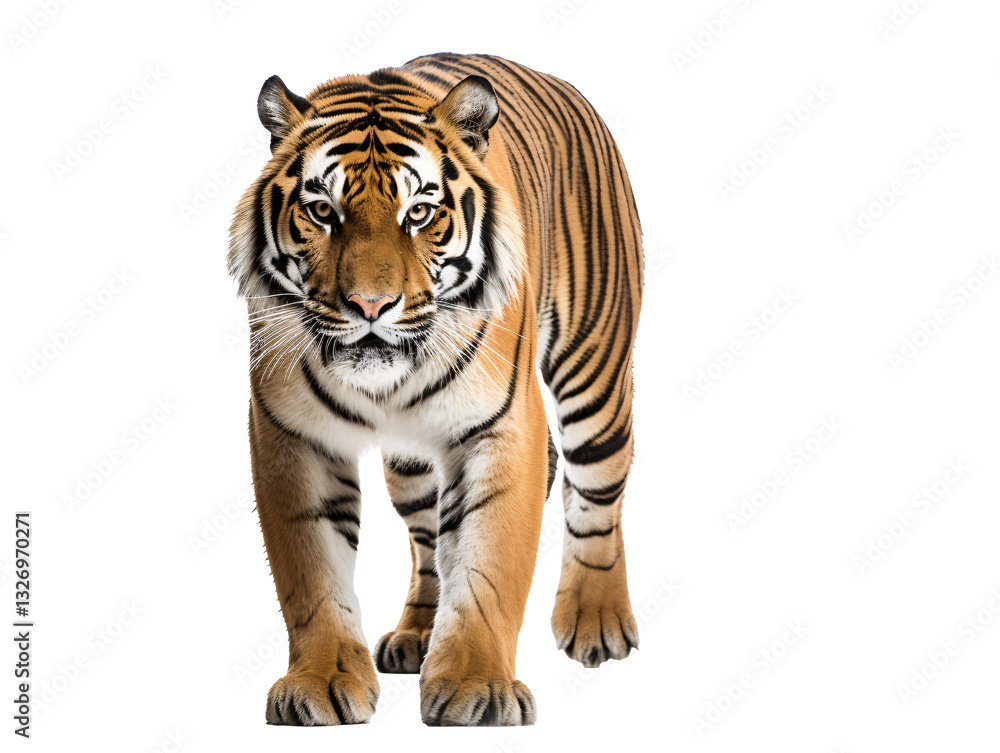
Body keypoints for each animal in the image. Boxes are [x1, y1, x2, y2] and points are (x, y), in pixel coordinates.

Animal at [228, 52, 643, 727]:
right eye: (323, 212)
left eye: (419, 213)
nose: (370, 305)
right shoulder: (292, 435)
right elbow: (312, 574)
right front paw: (320, 682)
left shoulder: (501, 429)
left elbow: (488, 562)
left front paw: (478, 688)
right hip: (410, 465)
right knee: (429, 541)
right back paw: (416, 637)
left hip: (595, 372)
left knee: (597, 492)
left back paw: (596, 622)